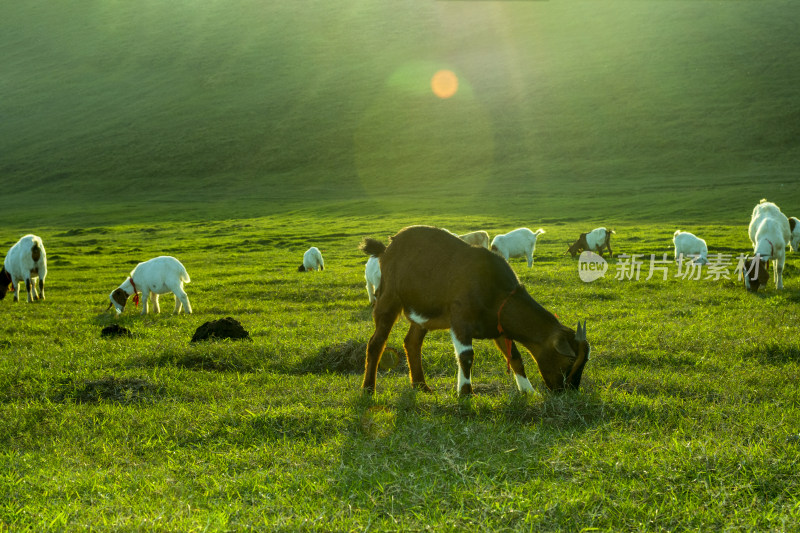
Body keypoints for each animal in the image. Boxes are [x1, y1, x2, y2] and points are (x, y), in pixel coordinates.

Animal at [360, 224, 592, 394]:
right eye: (571, 359)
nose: (569, 390)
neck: (495, 290)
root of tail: (386, 249)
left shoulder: (499, 326)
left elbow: (515, 357)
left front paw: (529, 391)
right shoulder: (460, 320)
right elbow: (466, 356)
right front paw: (465, 393)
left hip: (423, 312)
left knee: (412, 343)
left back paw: (421, 386)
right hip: (388, 298)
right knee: (376, 343)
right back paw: (368, 389)